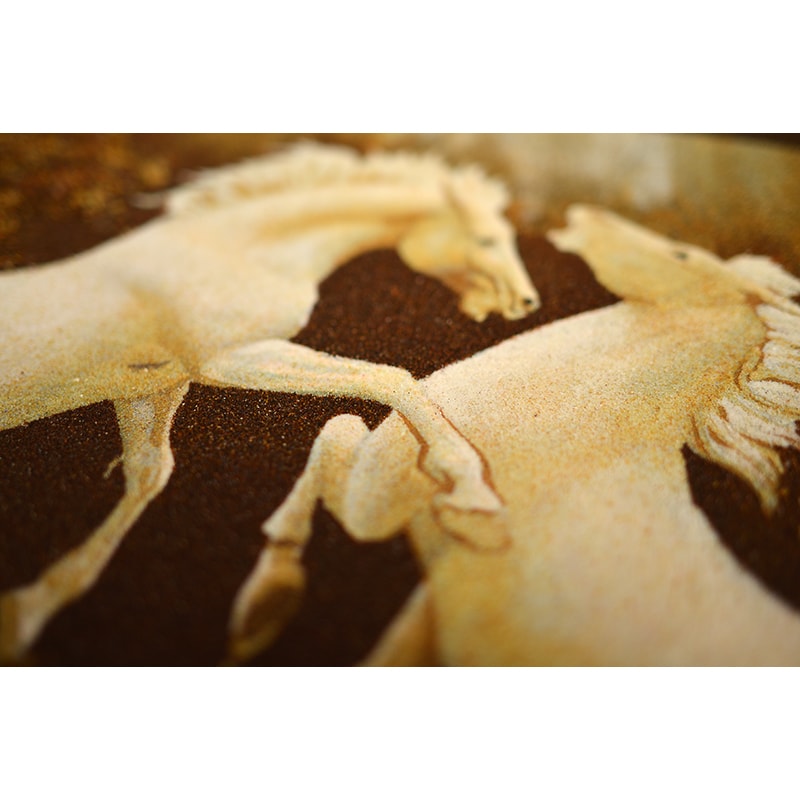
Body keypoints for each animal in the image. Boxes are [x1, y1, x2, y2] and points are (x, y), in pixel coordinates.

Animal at [0, 142, 539, 663]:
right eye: (488, 240)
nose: (525, 303)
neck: (233, 254)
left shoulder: (151, 386)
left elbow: (147, 473)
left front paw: (29, 610)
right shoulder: (230, 359)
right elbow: (392, 379)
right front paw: (472, 493)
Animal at [246, 204, 800, 666]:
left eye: (681, 252)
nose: (585, 213)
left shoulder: (373, 502)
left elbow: (334, 430)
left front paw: (266, 600)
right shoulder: (432, 600)